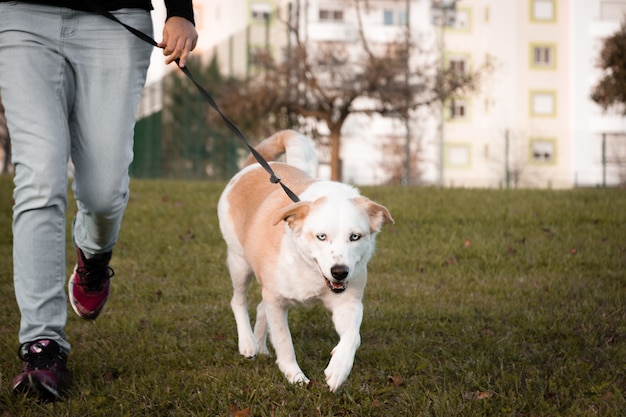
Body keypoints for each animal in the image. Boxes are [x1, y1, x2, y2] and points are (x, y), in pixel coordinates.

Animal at [217, 130, 392, 390]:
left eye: (355, 236)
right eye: (321, 236)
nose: (340, 272)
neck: (310, 270)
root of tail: (250, 167)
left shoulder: (348, 303)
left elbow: (353, 336)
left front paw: (338, 369)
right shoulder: (276, 301)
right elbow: (284, 342)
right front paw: (295, 376)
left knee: (259, 307)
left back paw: (260, 345)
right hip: (240, 263)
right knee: (238, 300)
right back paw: (248, 343)